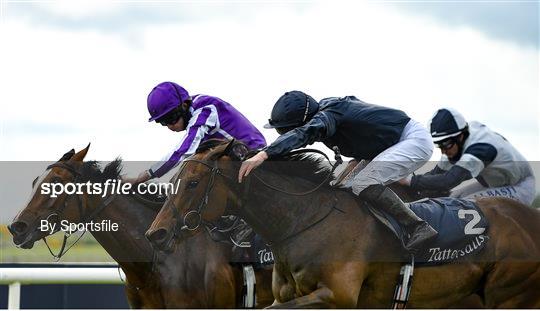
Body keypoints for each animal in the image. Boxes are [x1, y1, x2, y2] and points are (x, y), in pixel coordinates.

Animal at [147, 141, 540, 310]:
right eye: (175, 180)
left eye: (192, 183)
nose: (157, 233)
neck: (305, 221)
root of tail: (528, 219)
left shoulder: (337, 296)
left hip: (510, 295)